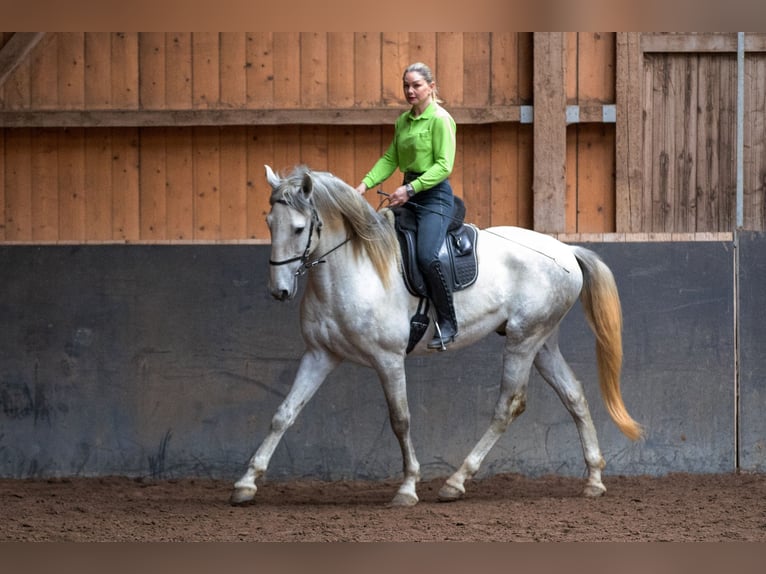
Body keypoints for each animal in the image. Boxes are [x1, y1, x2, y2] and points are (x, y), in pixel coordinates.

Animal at [231, 166, 644, 508]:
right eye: (269, 222)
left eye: (299, 228)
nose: (280, 291)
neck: (353, 269)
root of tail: (566, 251)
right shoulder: (320, 355)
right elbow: (283, 414)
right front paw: (246, 484)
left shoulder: (388, 359)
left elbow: (400, 419)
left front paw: (407, 488)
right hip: (542, 342)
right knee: (574, 395)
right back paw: (593, 479)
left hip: (524, 340)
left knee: (508, 405)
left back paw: (456, 482)